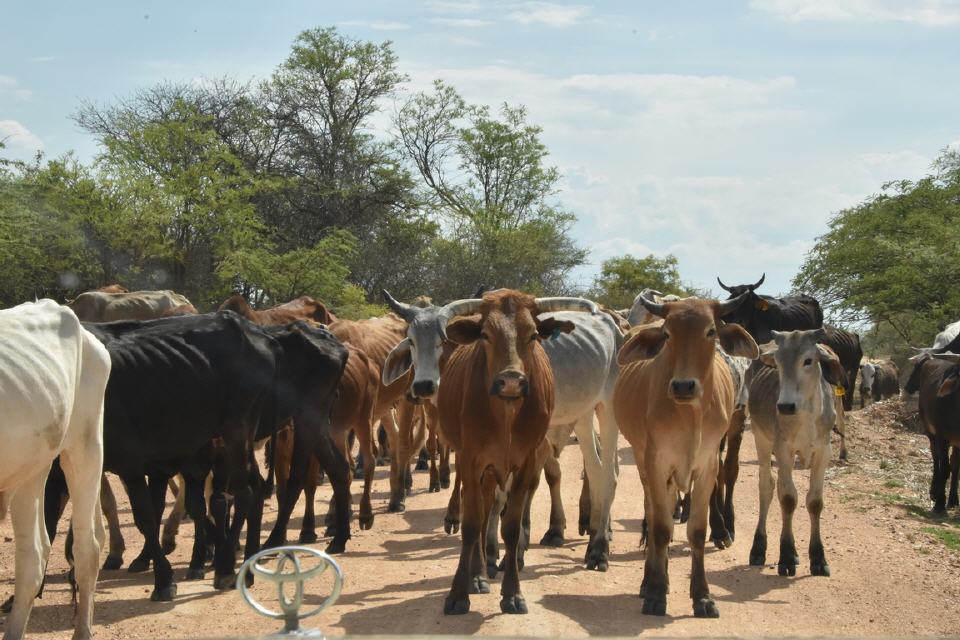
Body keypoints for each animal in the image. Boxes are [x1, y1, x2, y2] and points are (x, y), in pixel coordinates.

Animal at [436, 290, 576, 616]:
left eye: (533, 334)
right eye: (486, 335)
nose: (511, 381)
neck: (506, 414)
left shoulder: (526, 464)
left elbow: (511, 527)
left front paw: (512, 593)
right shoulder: (472, 460)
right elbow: (472, 524)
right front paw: (458, 593)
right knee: (479, 512)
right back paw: (476, 576)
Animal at [616, 292, 756, 616]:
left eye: (711, 331)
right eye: (668, 334)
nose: (683, 385)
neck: (690, 416)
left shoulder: (706, 467)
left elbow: (697, 531)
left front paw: (702, 596)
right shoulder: (657, 464)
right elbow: (659, 528)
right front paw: (655, 593)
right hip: (644, 464)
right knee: (654, 513)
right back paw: (650, 580)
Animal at [748, 332, 844, 576]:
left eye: (808, 360)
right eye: (778, 362)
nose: (785, 406)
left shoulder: (823, 452)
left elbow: (815, 502)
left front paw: (818, 558)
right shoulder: (784, 451)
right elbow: (788, 499)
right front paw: (787, 556)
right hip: (761, 441)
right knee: (767, 487)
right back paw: (758, 548)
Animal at [904, 352, 960, 512]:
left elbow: (955, 468)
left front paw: (952, 500)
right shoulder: (942, 437)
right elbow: (944, 468)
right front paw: (940, 502)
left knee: (953, 463)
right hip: (929, 430)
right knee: (936, 458)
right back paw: (934, 491)